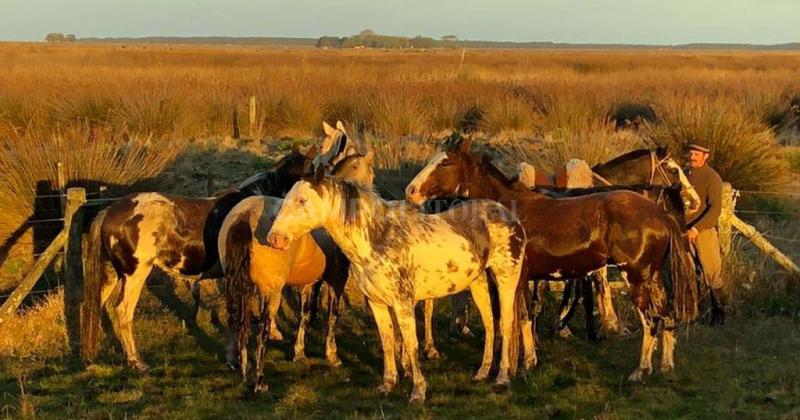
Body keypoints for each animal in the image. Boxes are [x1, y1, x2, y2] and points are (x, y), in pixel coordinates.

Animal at [220, 150, 376, 390]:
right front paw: (332, 355)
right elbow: (332, 315)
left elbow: (304, 313)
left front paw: (299, 352)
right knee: (263, 329)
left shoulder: (309, 282)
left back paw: (241, 367)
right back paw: (260, 380)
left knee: (238, 319)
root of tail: (244, 217)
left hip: (238, 286)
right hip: (271, 292)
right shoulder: (336, 280)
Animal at [266, 175, 536, 404]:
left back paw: (502, 378)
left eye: (302, 200)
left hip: (506, 279)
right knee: (490, 324)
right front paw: (388, 384)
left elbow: (410, 343)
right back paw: (482, 372)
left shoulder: (403, 303)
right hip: (478, 283)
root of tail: (509, 216)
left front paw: (418, 392)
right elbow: (388, 342)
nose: (274, 238)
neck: (376, 238)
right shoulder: (377, 303)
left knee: (506, 325)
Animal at [406, 135, 700, 380]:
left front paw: (520, 363)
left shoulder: (517, 278)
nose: (411, 191)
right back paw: (665, 366)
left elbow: (518, 316)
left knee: (651, 320)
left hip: (638, 278)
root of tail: (660, 214)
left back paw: (641, 370)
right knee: (666, 316)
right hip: (653, 279)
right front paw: (526, 360)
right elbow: (519, 317)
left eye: (445, 162)